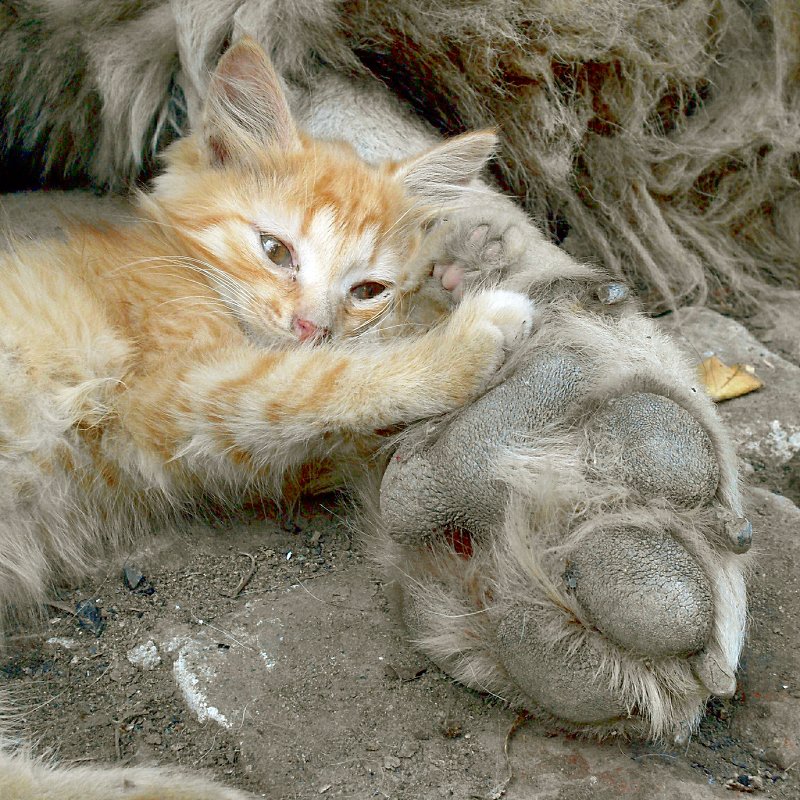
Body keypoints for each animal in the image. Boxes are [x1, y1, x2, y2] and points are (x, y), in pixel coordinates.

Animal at [0, 39, 536, 632]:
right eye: (276, 251)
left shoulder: (252, 460)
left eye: (367, 290)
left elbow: (334, 413)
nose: (311, 326)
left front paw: (462, 272)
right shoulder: (172, 393)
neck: (178, 262)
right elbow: (321, 382)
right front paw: (462, 339)